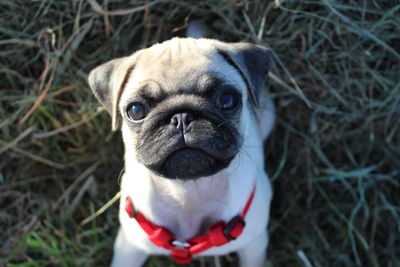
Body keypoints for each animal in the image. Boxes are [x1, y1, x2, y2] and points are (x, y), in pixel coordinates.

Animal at [88, 36, 276, 267]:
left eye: (227, 100)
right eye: (135, 110)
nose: (182, 117)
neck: (187, 192)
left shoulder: (254, 246)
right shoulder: (129, 247)